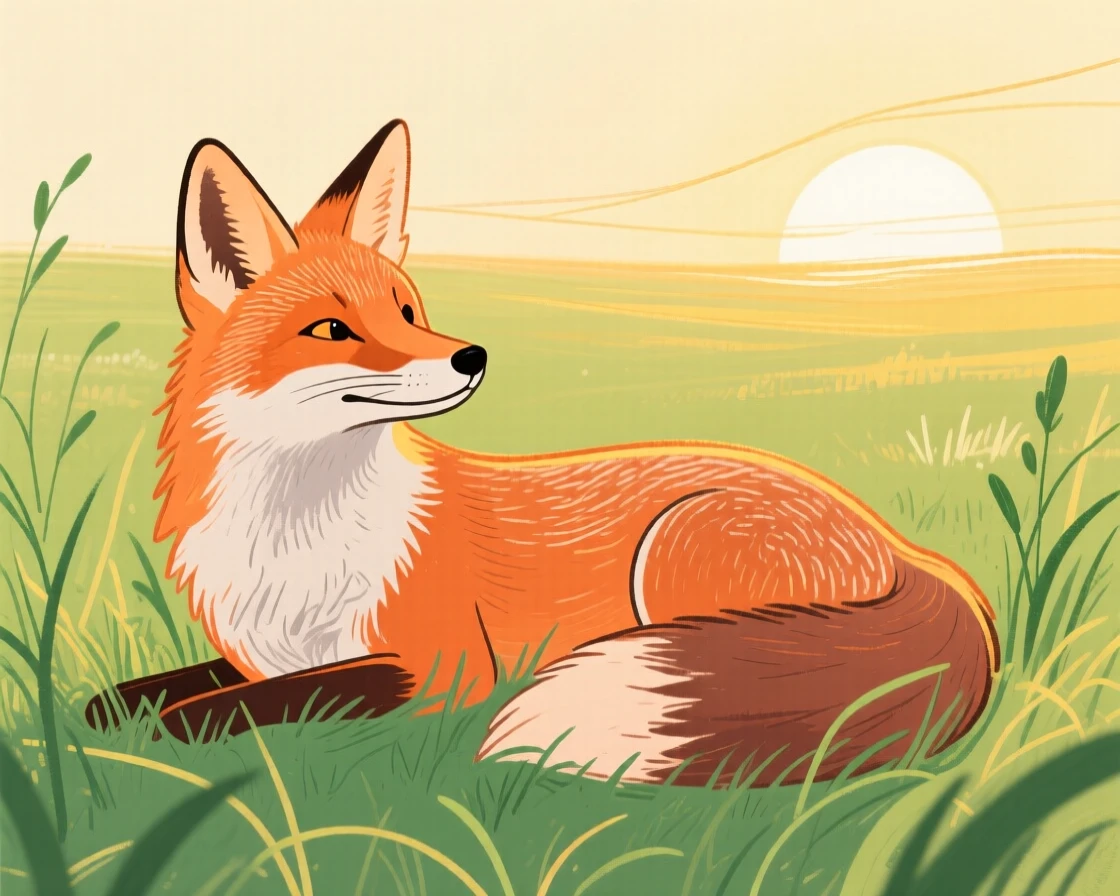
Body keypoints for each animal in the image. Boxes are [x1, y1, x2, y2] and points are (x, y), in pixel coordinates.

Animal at [86, 120, 1000, 787]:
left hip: (672, 558)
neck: (296, 535)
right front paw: (110, 720)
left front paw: (161, 737)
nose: (472, 355)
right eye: (333, 330)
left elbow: (248, 706)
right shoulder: (257, 654)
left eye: (409, 311)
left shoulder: (441, 670)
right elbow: (125, 699)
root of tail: (909, 548)